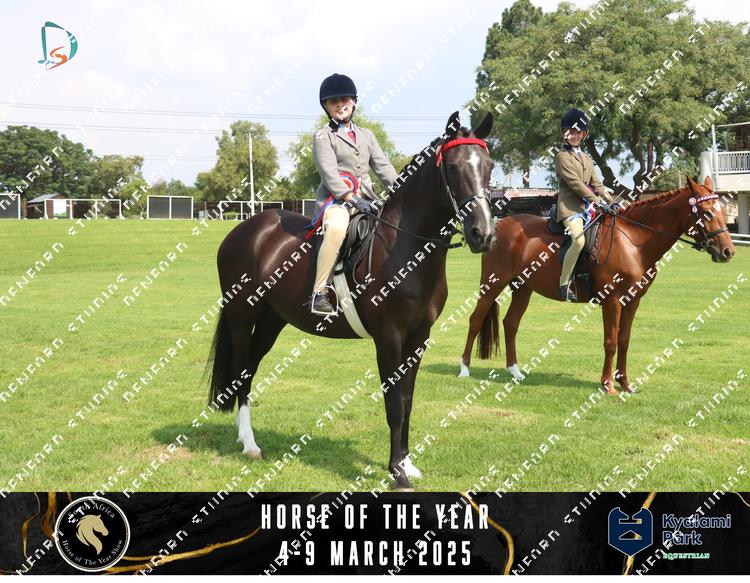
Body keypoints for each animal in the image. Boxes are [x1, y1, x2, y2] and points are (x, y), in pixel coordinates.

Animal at [207, 111, 496, 491]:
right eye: (452, 167)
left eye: (489, 166)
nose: (483, 234)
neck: (406, 248)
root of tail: (247, 228)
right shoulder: (389, 337)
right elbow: (394, 404)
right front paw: (398, 473)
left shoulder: (419, 337)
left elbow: (407, 399)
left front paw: (408, 463)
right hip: (242, 314)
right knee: (242, 371)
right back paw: (249, 444)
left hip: (272, 320)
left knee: (251, 369)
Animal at [458, 175, 735, 394]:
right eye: (707, 213)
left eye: (723, 212)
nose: (728, 252)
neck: (633, 242)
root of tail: (496, 226)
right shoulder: (612, 301)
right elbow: (610, 342)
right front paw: (607, 385)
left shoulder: (633, 301)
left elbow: (624, 340)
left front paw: (626, 384)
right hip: (492, 284)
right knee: (475, 319)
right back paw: (464, 368)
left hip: (522, 288)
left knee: (511, 323)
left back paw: (514, 371)